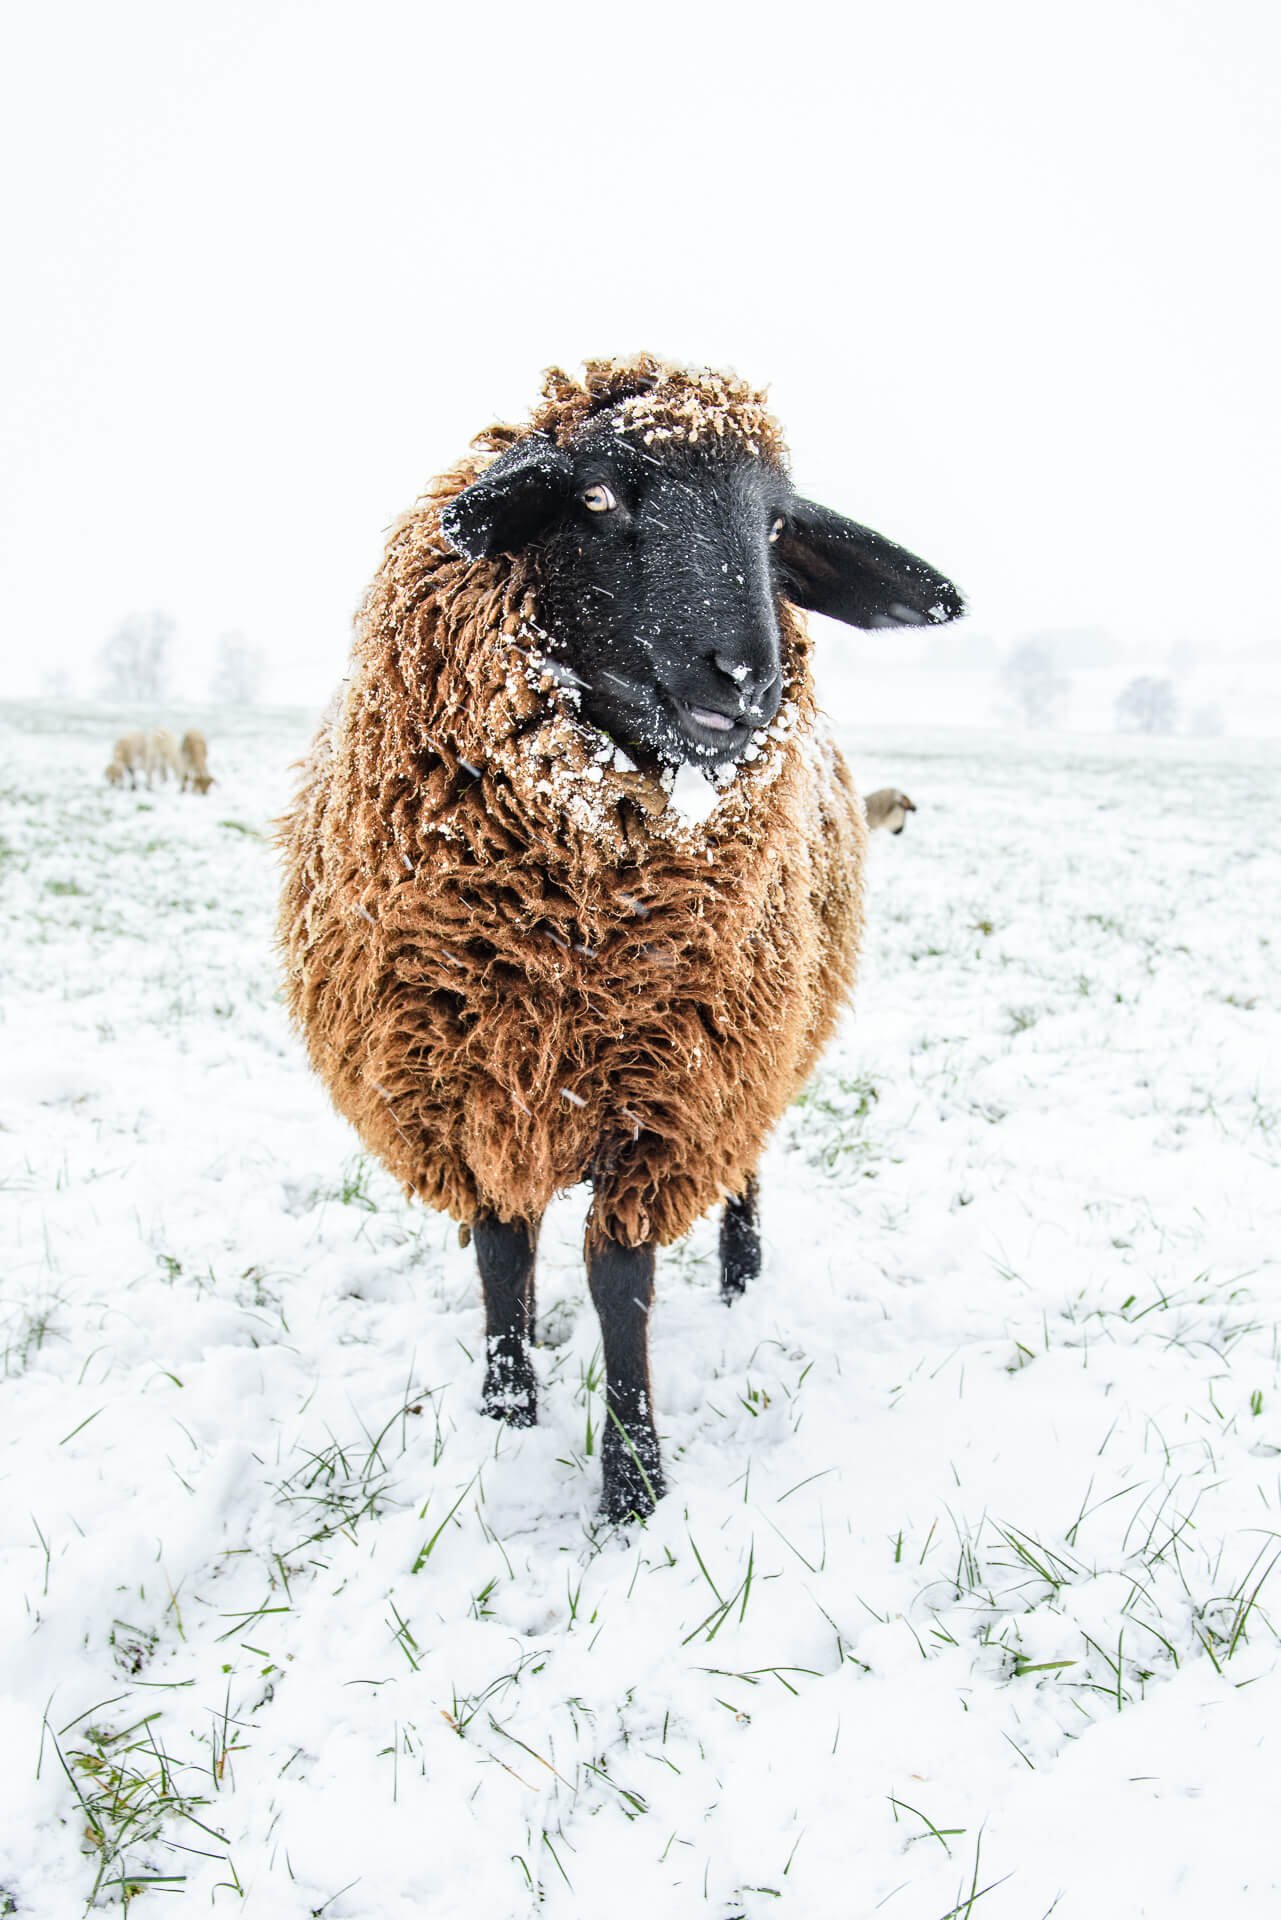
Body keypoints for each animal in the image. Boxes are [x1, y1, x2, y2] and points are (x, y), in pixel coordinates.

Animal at [278, 356, 962, 1520]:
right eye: (596, 497)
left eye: (776, 525)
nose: (745, 677)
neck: (565, 931)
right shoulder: (466, 1081)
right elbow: (502, 1253)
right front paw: (507, 1408)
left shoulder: (671, 1099)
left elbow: (619, 1284)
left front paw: (632, 1486)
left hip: (752, 1054)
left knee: (745, 1172)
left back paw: (741, 1277)